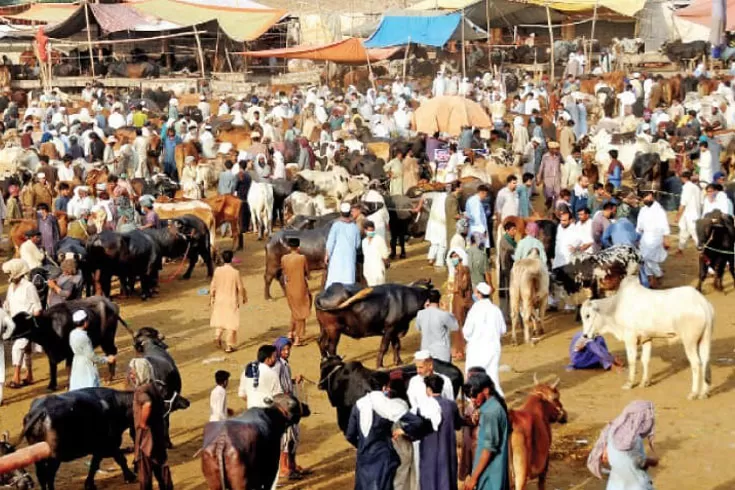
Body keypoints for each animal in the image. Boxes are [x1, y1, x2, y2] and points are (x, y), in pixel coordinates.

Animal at [580, 278, 712, 400]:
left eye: (588, 315)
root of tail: (702, 303)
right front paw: (645, 382)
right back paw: (704, 393)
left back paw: (694, 393)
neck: (615, 307)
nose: (585, 335)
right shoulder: (647, 339)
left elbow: (632, 361)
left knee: (696, 364)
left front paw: (629, 383)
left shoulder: (630, 338)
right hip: (704, 339)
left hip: (689, 342)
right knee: (705, 361)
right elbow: (645, 360)